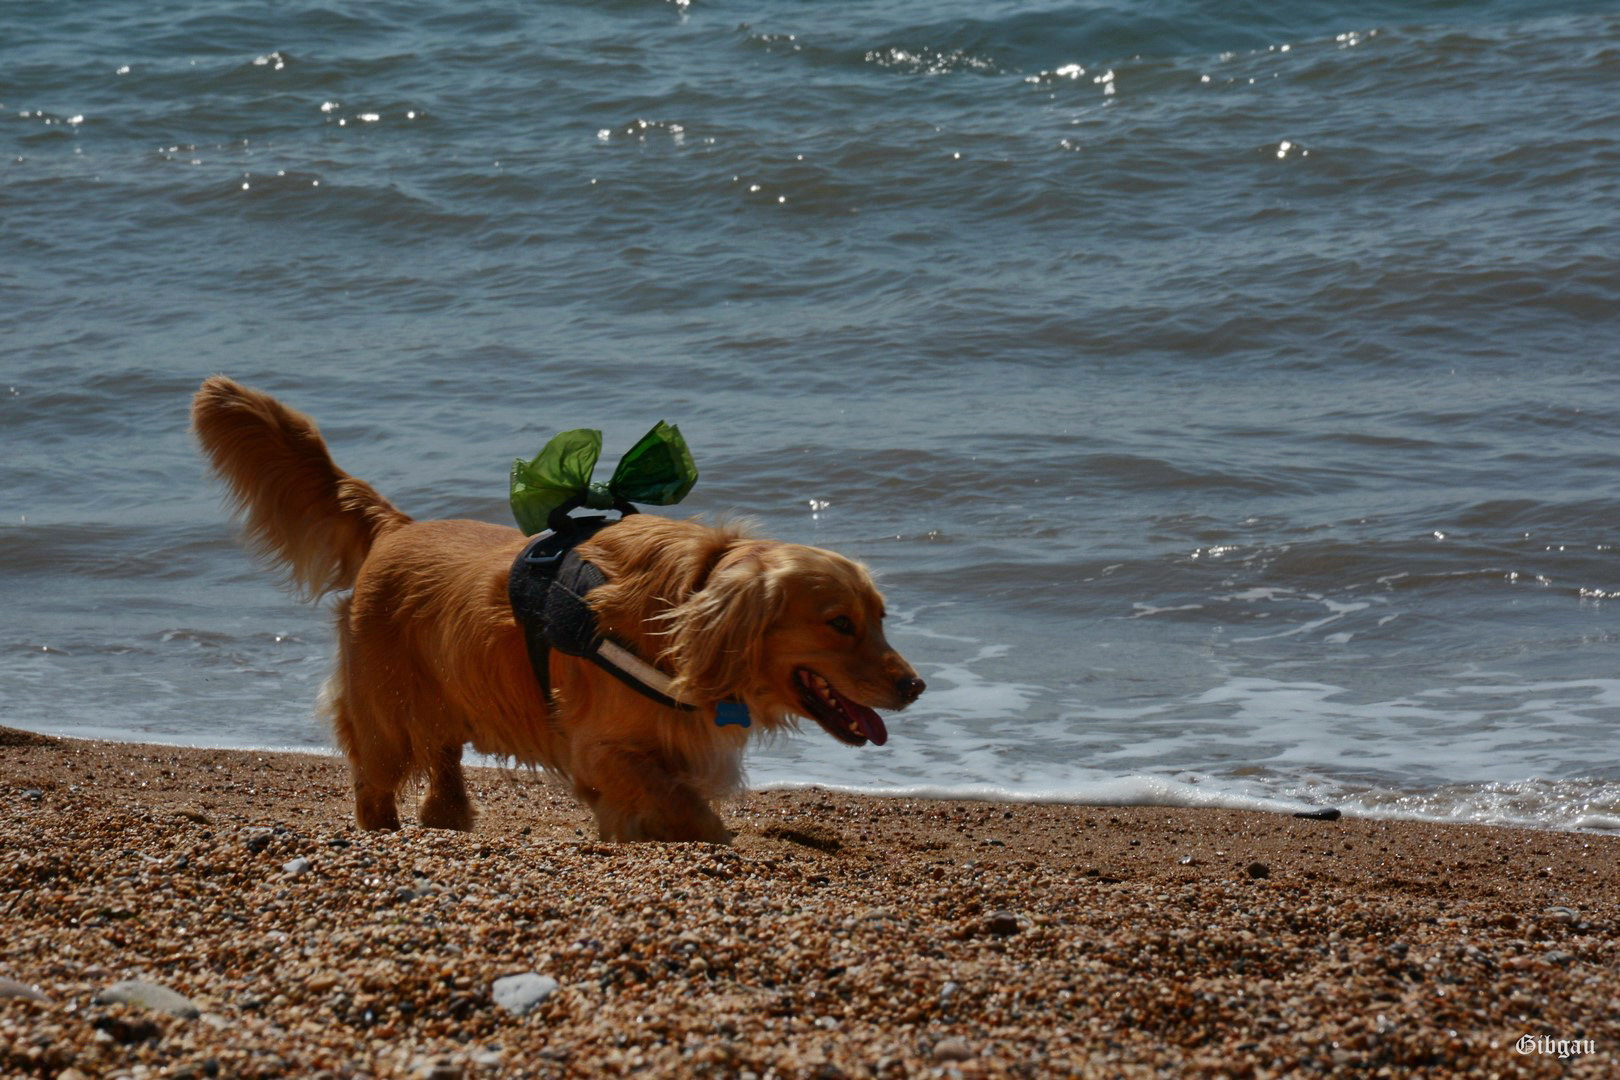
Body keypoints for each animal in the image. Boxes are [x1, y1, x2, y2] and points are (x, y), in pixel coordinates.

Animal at [191, 376, 924, 842]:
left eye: (882, 616)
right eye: (839, 623)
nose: (915, 686)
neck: (680, 609)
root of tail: (396, 528)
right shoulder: (605, 749)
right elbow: (689, 813)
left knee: (443, 762)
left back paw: (447, 819)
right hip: (385, 711)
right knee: (374, 785)